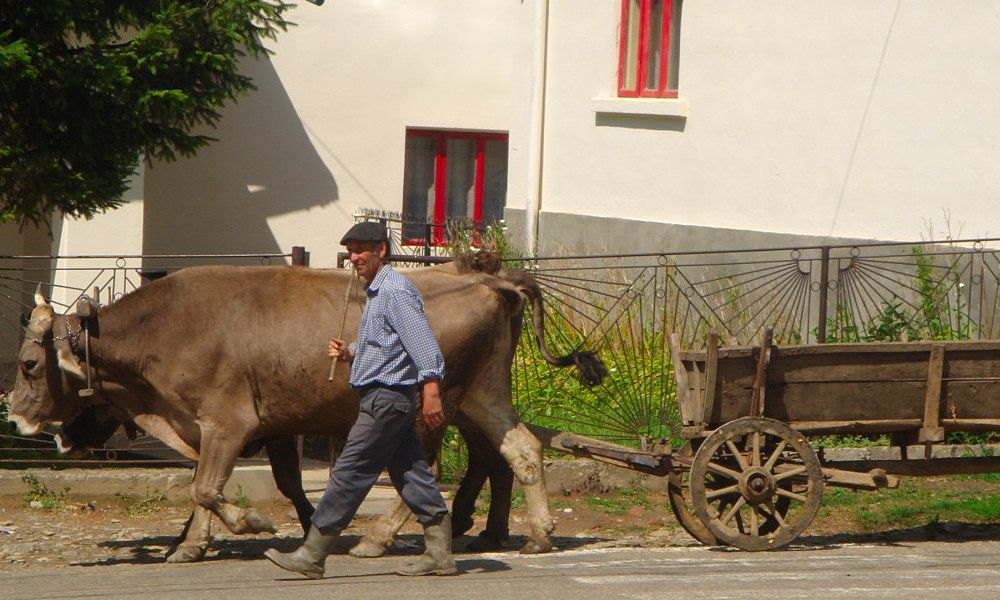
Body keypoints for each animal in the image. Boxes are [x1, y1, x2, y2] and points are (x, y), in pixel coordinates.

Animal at [7, 262, 600, 564]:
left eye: (30, 364)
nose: (16, 421)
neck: (169, 326)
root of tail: (486, 278)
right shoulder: (214, 427)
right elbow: (206, 488)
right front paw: (190, 545)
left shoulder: (229, 423)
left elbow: (209, 488)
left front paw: (252, 524)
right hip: (482, 396)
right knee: (520, 449)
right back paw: (537, 534)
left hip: (433, 408)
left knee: (438, 468)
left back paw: (384, 537)